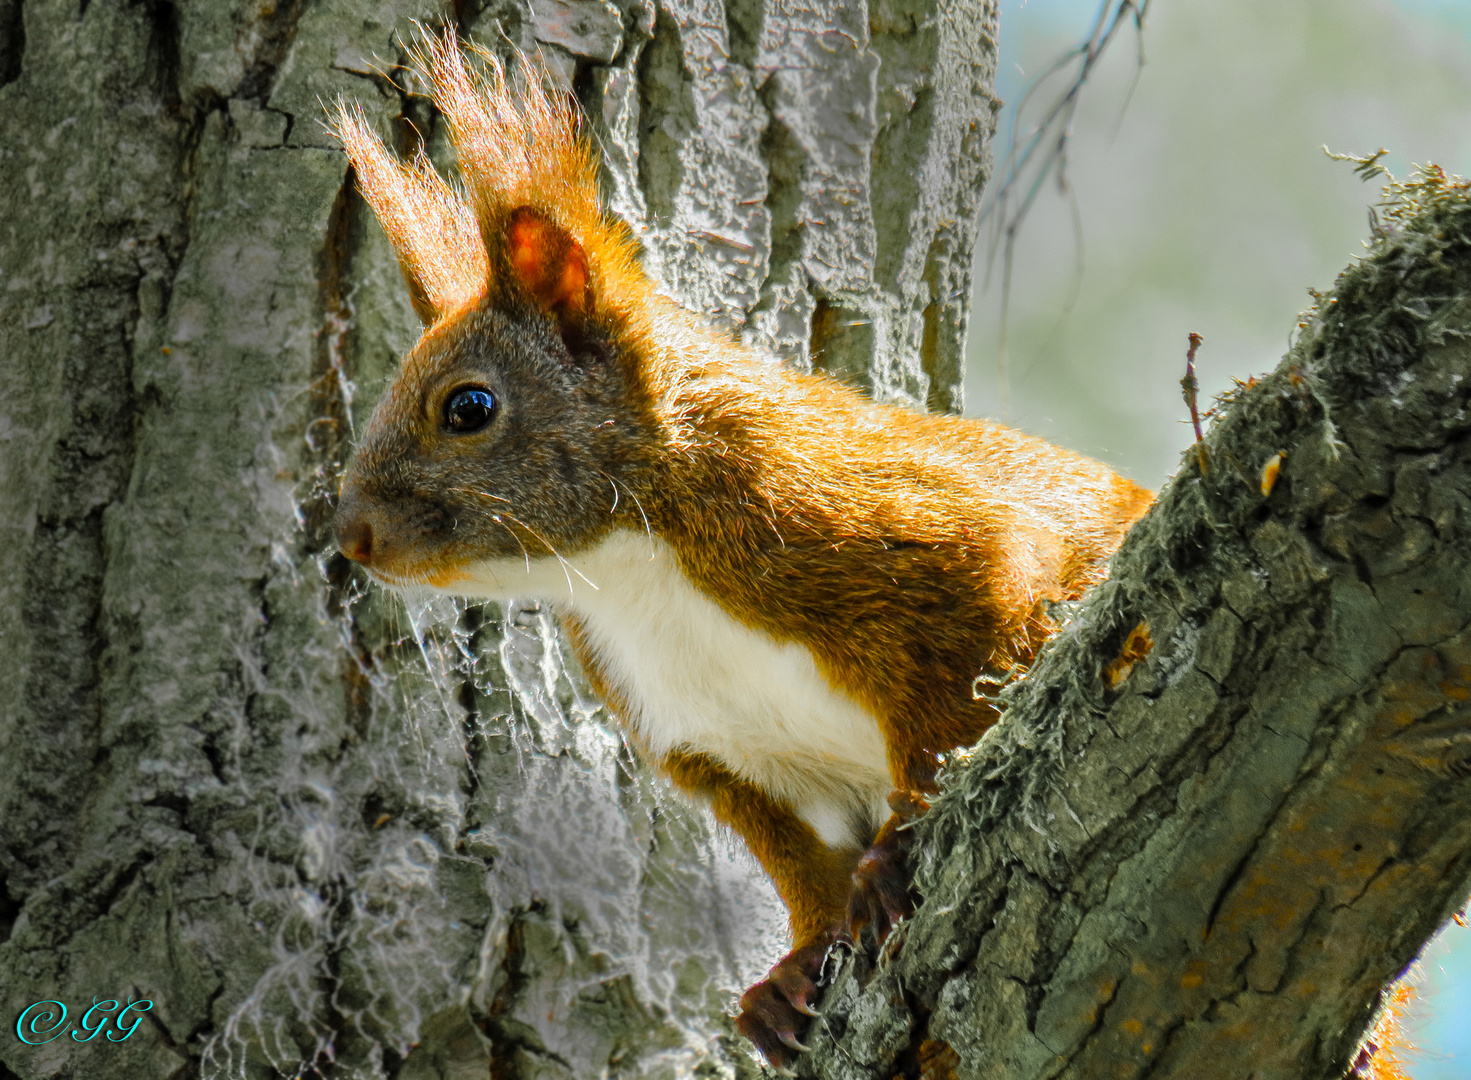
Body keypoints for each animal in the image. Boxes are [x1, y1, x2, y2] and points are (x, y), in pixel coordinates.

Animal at [336, 29, 1159, 1071]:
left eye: (468, 406)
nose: (349, 532)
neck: (629, 571)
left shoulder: (878, 535)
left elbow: (962, 690)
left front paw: (900, 851)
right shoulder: (718, 744)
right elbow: (797, 857)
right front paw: (791, 972)